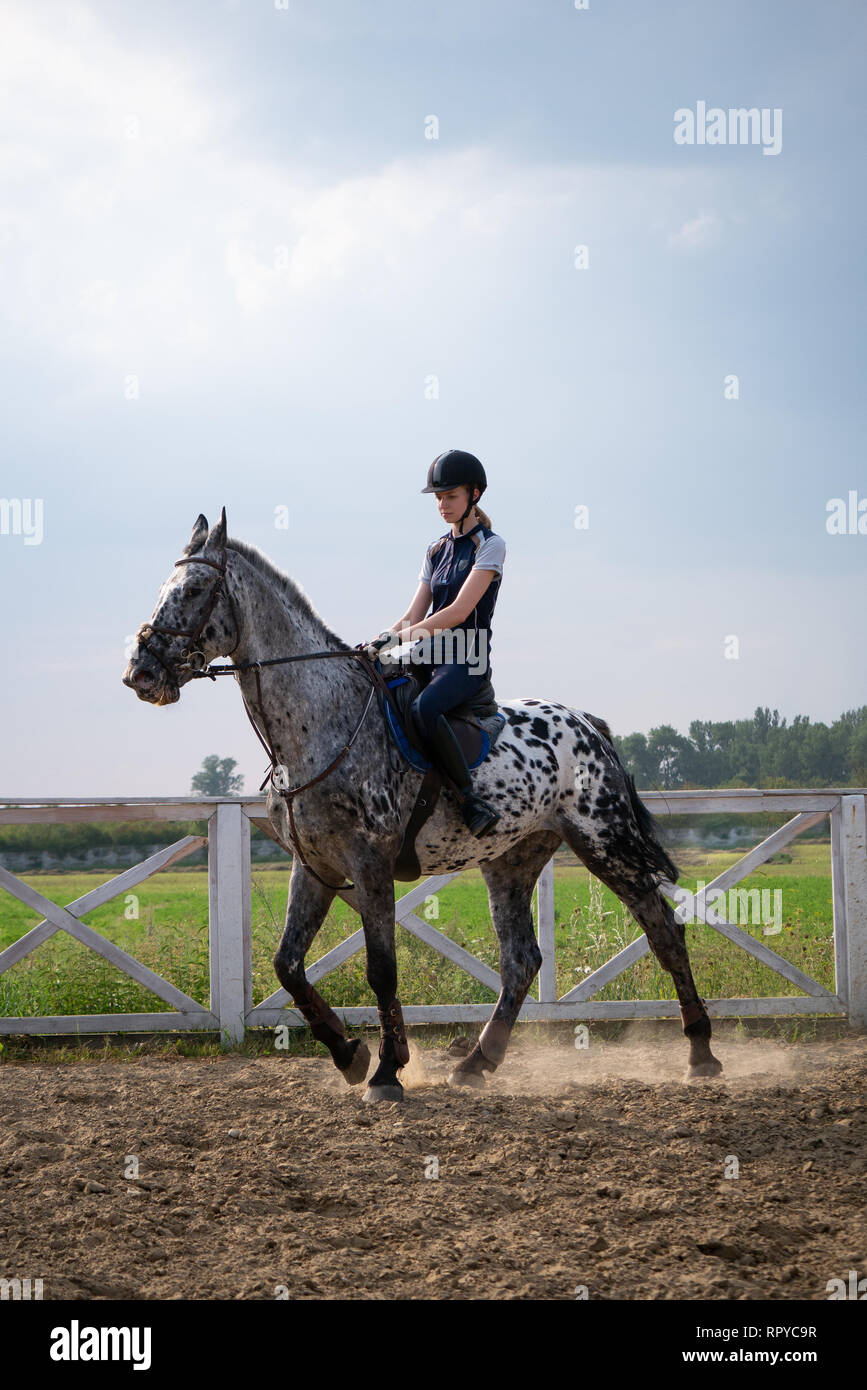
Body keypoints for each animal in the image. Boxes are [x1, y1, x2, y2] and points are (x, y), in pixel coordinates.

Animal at [120, 505, 716, 1100]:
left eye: (196, 589)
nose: (139, 674)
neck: (320, 723)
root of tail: (587, 721)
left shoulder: (370, 864)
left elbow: (381, 969)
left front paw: (386, 1071)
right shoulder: (313, 867)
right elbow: (286, 964)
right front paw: (350, 1054)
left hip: (605, 843)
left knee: (664, 932)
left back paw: (701, 1053)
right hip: (512, 861)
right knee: (522, 960)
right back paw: (477, 1062)